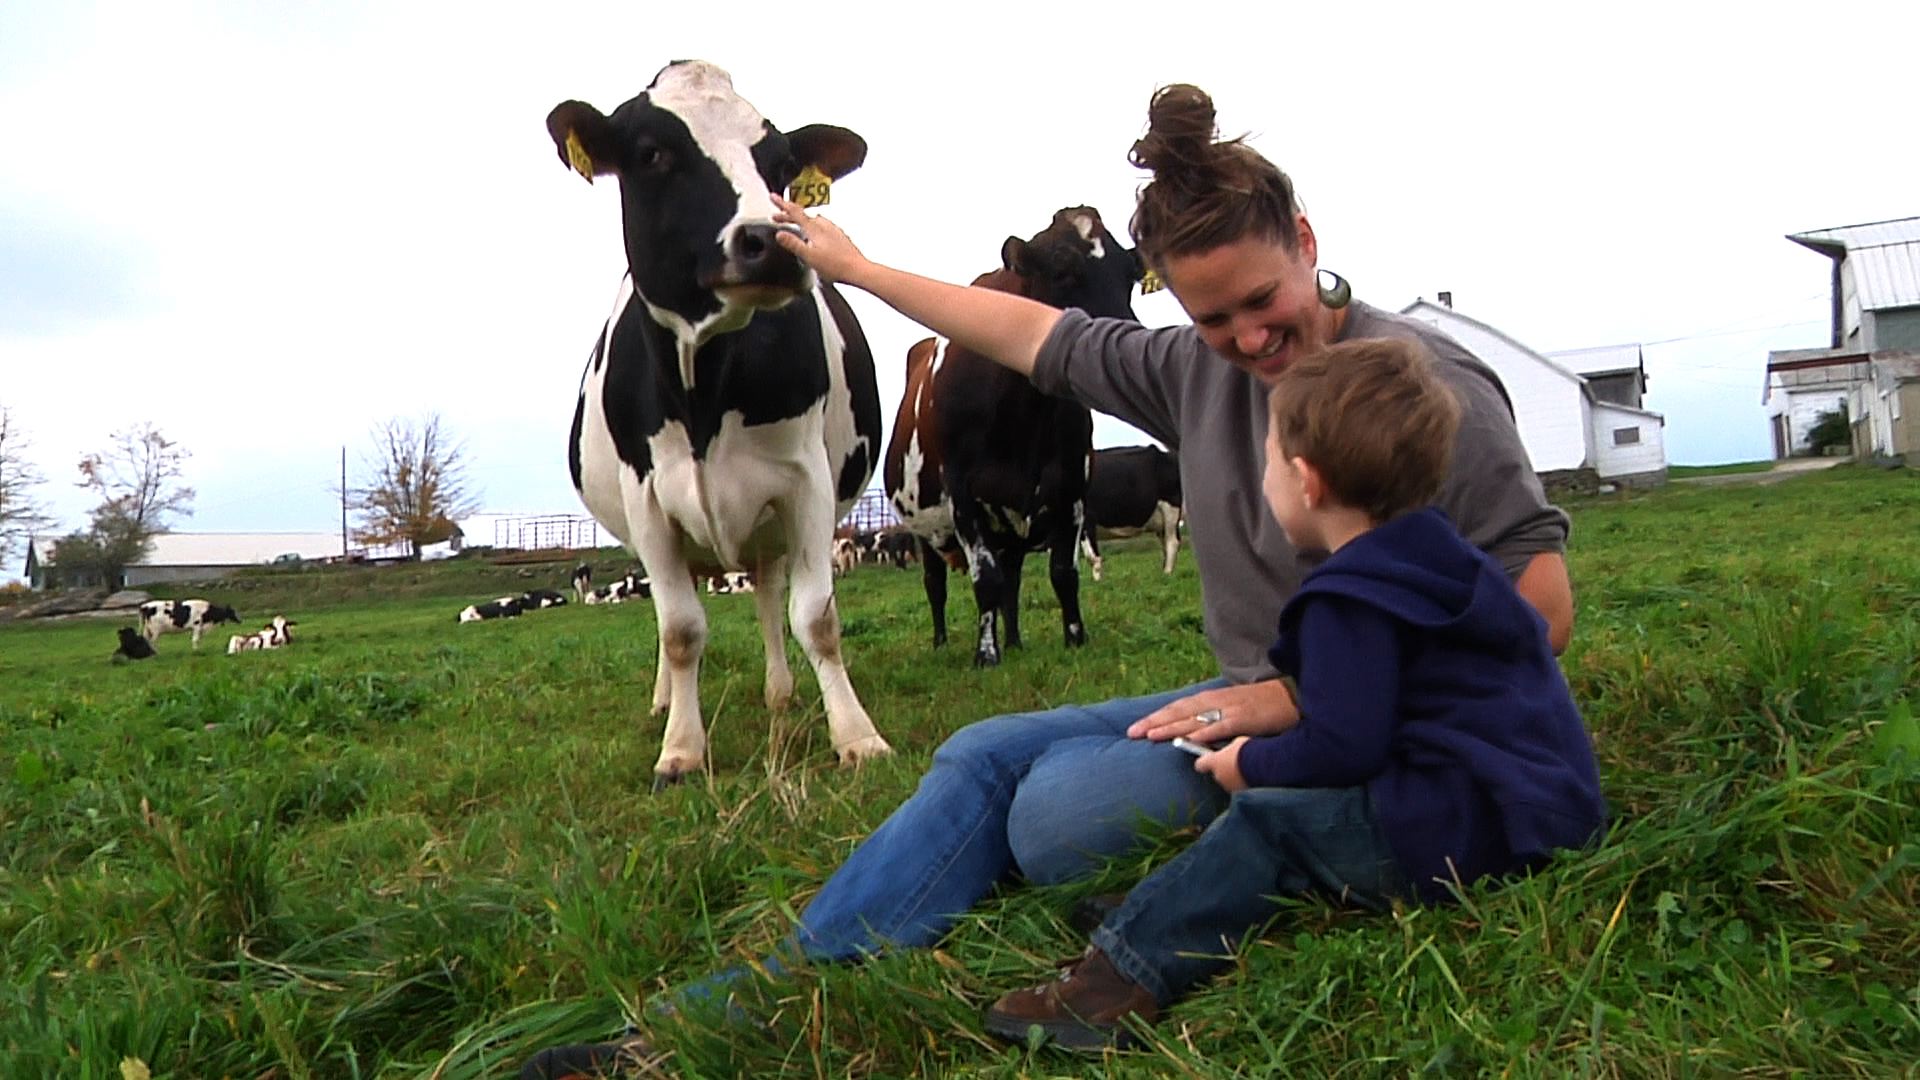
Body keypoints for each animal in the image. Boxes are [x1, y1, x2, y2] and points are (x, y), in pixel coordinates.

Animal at [549, 60, 888, 785]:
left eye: (782, 166)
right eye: (653, 153)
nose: (774, 242)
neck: (701, 389)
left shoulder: (804, 482)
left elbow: (816, 618)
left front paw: (856, 735)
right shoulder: (647, 498)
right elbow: (679, 630)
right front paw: (680, 747)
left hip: (769, 529)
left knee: (767, 596)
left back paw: (781, 693)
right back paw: (663, 701)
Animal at [883, 207, 1144, 665]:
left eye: (1129, 273)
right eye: (1063, 270)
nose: (1123, 335)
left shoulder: (1071, 488)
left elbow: (1063, 573)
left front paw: (1075, 639)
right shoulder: (963, 496)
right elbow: (985, 579)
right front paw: (986, 655)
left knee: (1012, 581)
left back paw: (1016, 640)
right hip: (922, 528)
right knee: (936, 584)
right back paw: (941, 642)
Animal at [1079, 445, 1184, 581]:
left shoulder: (1088, 517)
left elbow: (1092, 557)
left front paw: (1098, 582)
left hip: (1171, 507)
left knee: (1172, 542)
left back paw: (1167, 574)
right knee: (1166, 543)